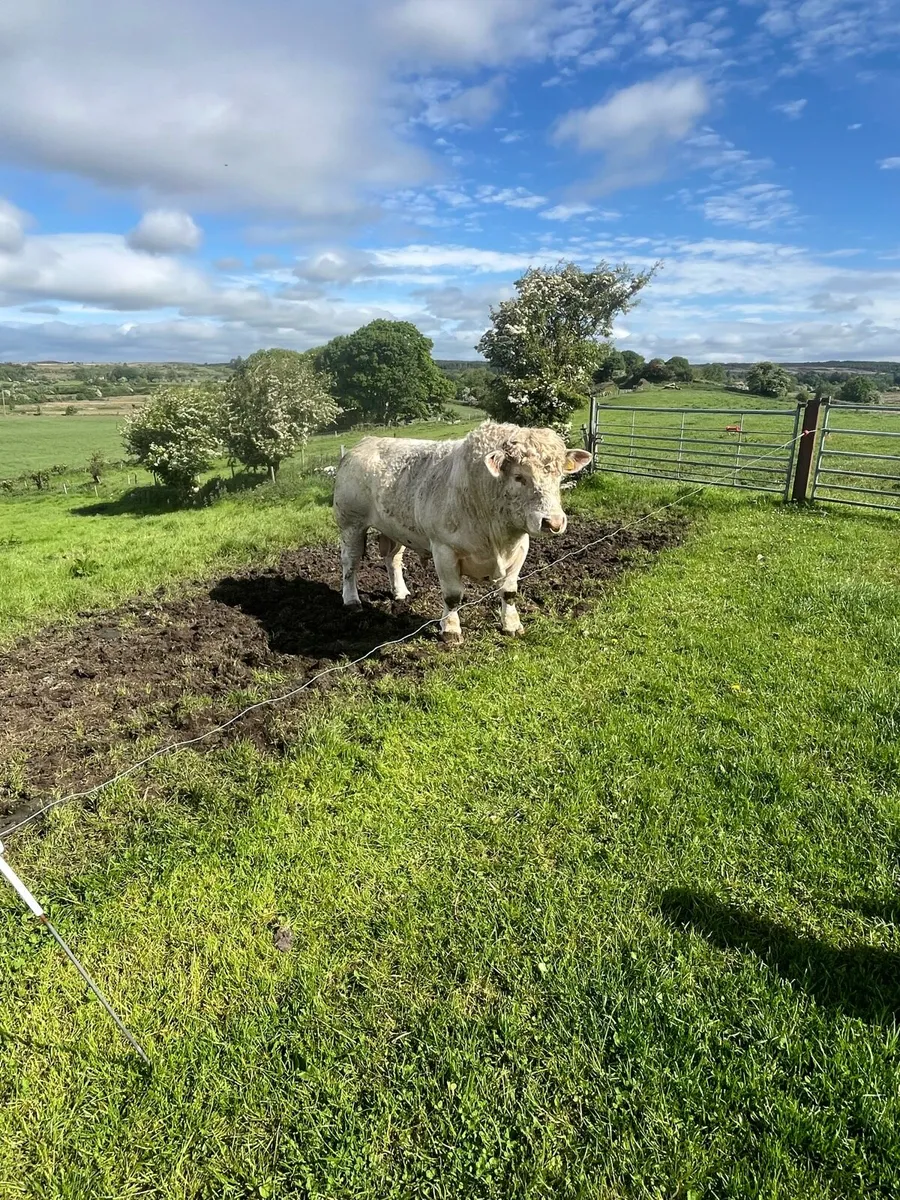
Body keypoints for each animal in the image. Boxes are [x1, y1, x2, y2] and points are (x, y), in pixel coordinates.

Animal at [333, 421, 592, 643]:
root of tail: (366, 442)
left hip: (394, 528)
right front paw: (450, 630)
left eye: (559, 476)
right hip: (351, 524)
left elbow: (509, 591)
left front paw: (511, 625)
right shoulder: (444, 550)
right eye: (519, 477)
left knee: (393, 558)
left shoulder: (520, 547)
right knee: (350, 562)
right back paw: (352, 599)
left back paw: (401, 592)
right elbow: (452, 595)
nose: (553, 522)